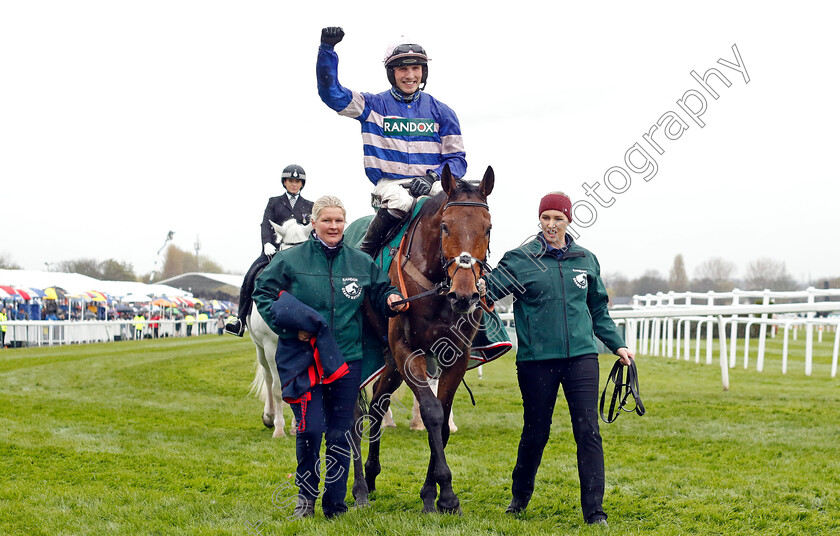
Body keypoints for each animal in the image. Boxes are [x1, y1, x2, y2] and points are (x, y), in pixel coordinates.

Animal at [352, 164, 496, 516]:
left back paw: (371, 475)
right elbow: (431, 411)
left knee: (377, 405)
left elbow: (442, 420)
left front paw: (433, 494)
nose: (464, 295)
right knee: (357, 415)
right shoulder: (407, 351)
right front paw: (446, 493)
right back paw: (360, 487)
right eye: (445, 227)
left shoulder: (456, 354)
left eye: (487, 229)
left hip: (389, 362)